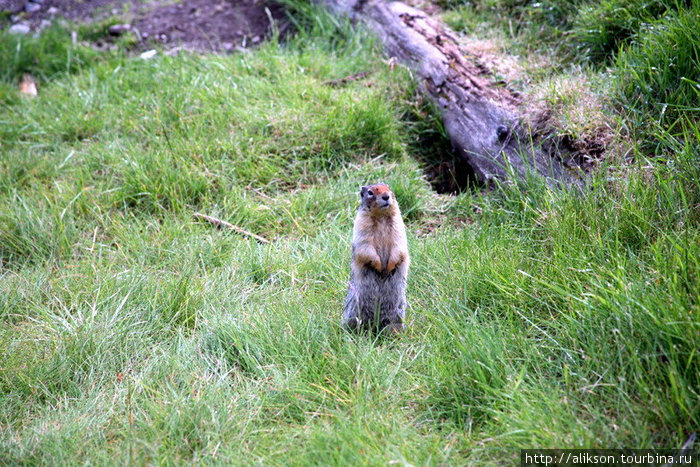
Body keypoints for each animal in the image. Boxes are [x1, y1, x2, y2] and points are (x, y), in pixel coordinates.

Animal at [340, 183, 408, 332]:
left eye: (389, 188)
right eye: (370, 192)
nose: (386, 196)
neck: (381, 217)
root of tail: (374, 325)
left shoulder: (398, 226)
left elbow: (398, 246)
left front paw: (388, 268)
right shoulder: (362, 226)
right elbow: (366, 247)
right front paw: (379, 267)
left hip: (396, 311)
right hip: (353, 309)